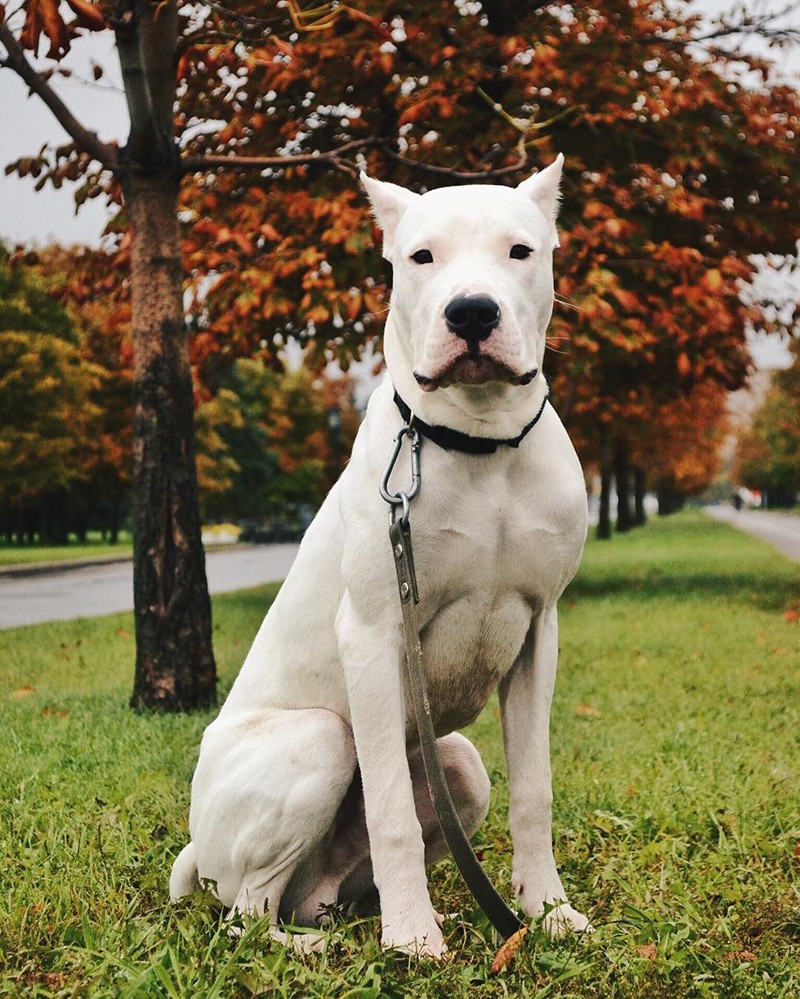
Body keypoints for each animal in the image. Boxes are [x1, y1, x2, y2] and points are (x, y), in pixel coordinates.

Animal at [172, 152, 592, 956]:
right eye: (422, 257)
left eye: (520, 251)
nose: (471, 313)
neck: (480, 442)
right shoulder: (372, 633)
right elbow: (391, 808)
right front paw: (411, 937)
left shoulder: (539, 632)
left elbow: (535, 788)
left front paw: (547, 911)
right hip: (317, 740)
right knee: (246, 915)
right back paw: (322, 946)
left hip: (457, 763)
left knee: (316, 892)